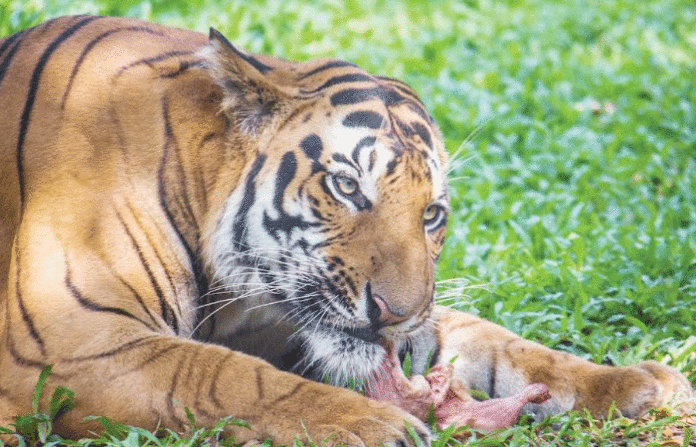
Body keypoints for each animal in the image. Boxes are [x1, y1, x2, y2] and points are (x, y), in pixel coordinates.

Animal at [0, 15, 692, 446]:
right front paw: (374, 426)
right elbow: (217, 374)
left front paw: (637, 382)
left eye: (432, 214)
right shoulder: (67, 339)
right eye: (348, 187)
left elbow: (501, 345)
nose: (394, 314)